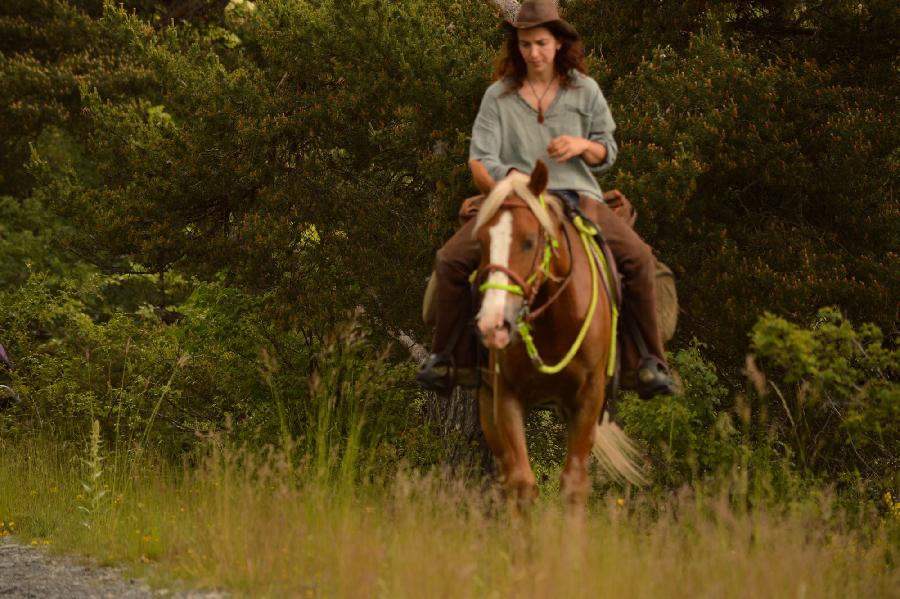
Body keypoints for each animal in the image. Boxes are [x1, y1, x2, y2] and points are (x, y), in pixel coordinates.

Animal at [474, 159, 644, 506]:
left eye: (529, 241)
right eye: (481, 242)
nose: (494, 324)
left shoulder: (588, 400)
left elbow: (573, 484)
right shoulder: (506, 396)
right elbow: (522, 482)